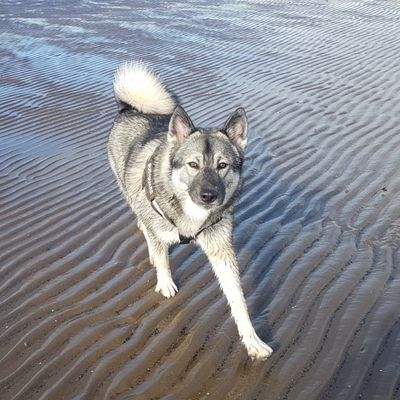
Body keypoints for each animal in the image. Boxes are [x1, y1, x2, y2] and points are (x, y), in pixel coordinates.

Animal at [108, 61, 274, 360]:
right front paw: (164, 281)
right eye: (193, 165)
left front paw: (251, 338)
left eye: (222, 165)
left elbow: (237, 297)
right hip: (126, 185)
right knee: (144, 222)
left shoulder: (221, 248)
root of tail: (131, 109)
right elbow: (163, 258)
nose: (209, 196)